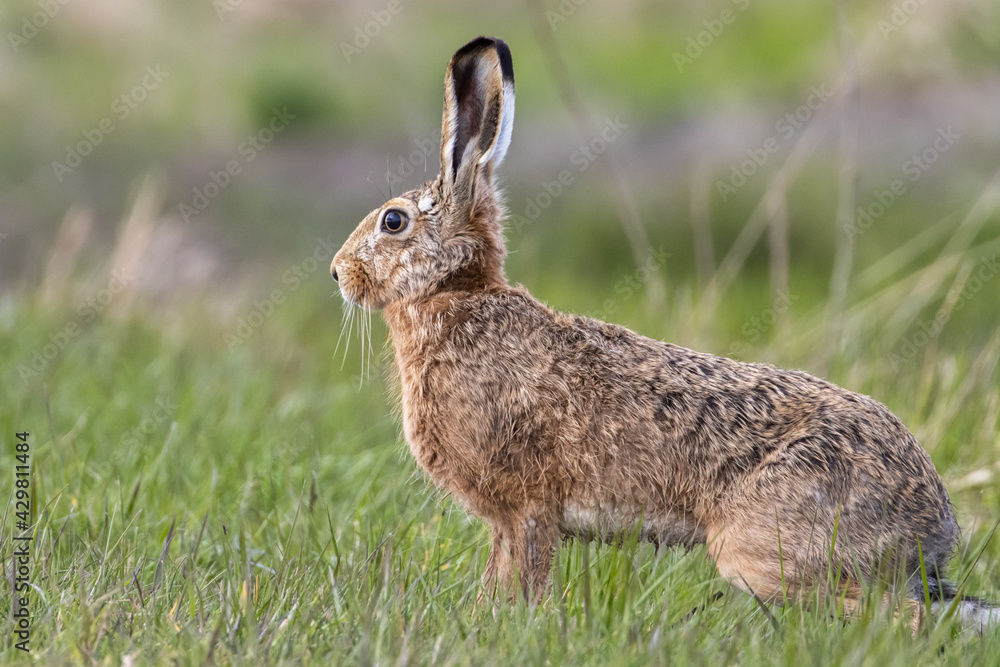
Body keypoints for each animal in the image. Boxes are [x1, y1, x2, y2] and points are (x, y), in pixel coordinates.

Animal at [331, 36, 997, 628]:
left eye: (393, 222)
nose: (338, 272)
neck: (457, 295)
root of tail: (934, 525)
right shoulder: (511, 518)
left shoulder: (526, 508)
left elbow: (522, 576)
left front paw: (504, 624)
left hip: (761, 552)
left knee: (901, 617)